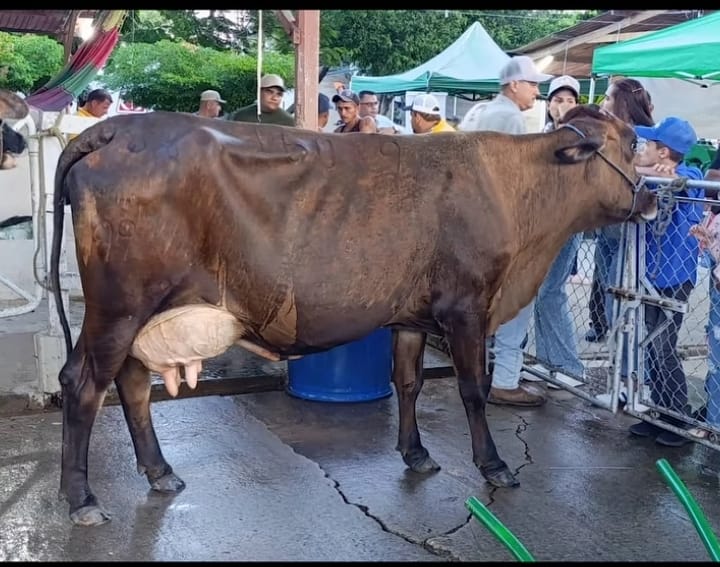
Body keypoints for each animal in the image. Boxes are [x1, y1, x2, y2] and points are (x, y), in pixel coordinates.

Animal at [50, 104, 660, 524]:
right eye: (632, 142)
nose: (655, 196)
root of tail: (112, 131)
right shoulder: (467, 306)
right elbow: (472, 390)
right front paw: (493, 465)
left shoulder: (412, 315)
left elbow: (409, 381)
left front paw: (416, 453)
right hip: (120, 306)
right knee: (83, 383)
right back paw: (81, 499)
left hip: (138, 312)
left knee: (130, 382)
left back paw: (161, 473)